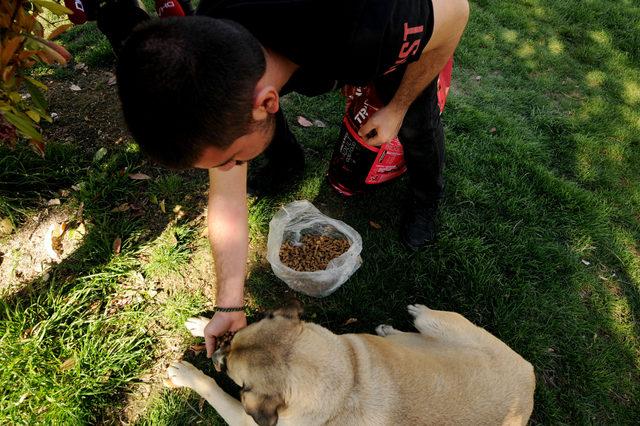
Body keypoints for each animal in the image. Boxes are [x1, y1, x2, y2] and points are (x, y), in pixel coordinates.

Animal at [166, 304, 536, 424]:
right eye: (230, 340)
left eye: (232, 375)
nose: (216, 357)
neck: (347, 378)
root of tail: (530, 378)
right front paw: (205, 326)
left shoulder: (248, 420)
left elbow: (214, 391)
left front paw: (187, 374)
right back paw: (391, 329)